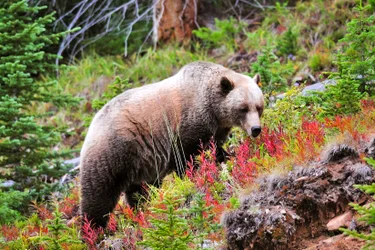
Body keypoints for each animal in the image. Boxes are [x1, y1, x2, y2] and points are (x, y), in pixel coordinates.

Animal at [81, 61, 266, 228]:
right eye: (243, 108)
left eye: (258, 107)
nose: (256, 129)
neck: (213, 110)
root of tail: (93, 123)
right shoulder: (186, 125)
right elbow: (187, 157)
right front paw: (193, 177)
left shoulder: (216, 129)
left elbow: (215, 150)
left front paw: (228, 158)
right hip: (115, 151)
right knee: (99, 194)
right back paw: (93, 229)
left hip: (141, 164)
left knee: (140, 190)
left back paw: (142, 209)